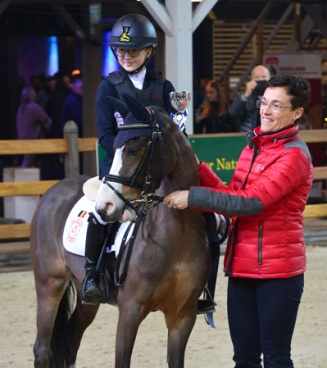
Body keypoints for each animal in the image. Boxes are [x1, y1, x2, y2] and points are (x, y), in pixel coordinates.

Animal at [29, 93, 211, 366]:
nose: (104, 207)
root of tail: (52, 190)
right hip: (49, 285)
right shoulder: (130, 312)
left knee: (71, 340)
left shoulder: (183, 316)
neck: (176, 235)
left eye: (133, 150)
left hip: (85, 298)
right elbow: (122, 359)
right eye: (115, 149)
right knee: (42, 348)